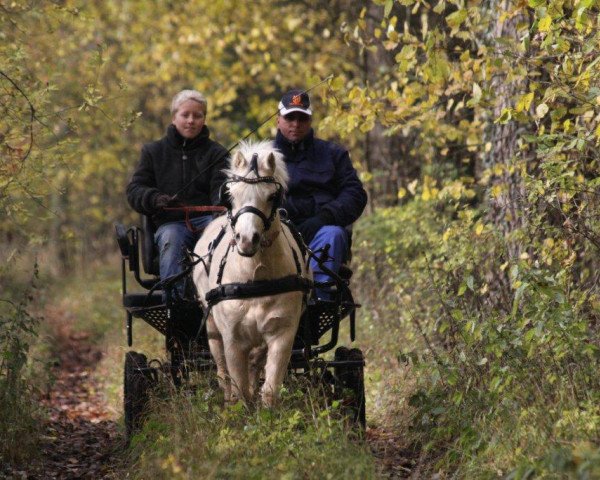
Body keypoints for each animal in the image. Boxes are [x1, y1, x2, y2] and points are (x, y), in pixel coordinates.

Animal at [192, 141, 312, 406]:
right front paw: (239, 410)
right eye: (230, 195)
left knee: (255, 363)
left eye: (272, 196)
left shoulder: (282, 333)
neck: (256, 276)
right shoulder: (233, 338)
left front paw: (266, 412)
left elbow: (269, 388)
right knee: (223, 373)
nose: (247, 239)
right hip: (212, 326)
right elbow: (240, 390)